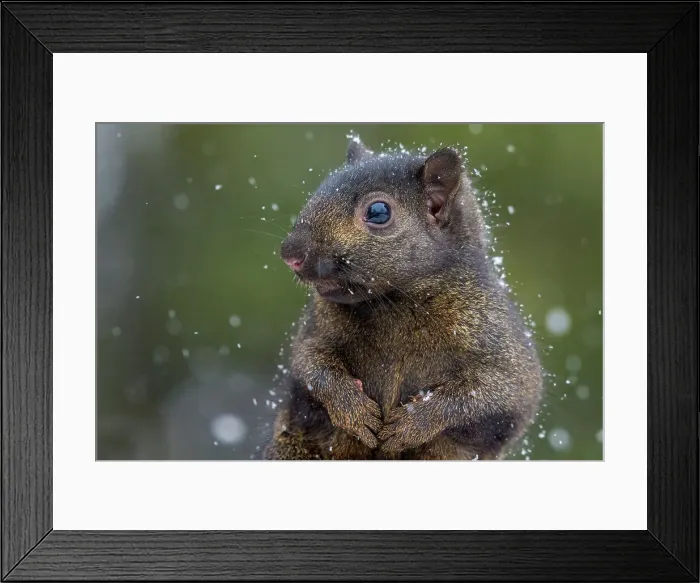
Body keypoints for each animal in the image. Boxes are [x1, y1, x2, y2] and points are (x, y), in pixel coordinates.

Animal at [263, 137, 543, 460]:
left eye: (378, 212)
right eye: (321, 187)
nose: (290, 254)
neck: (393, 303)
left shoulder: (499, 342)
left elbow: (498, 392)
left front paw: (412, 423)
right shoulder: (316, 328)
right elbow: (310, 363)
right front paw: (353, 410)